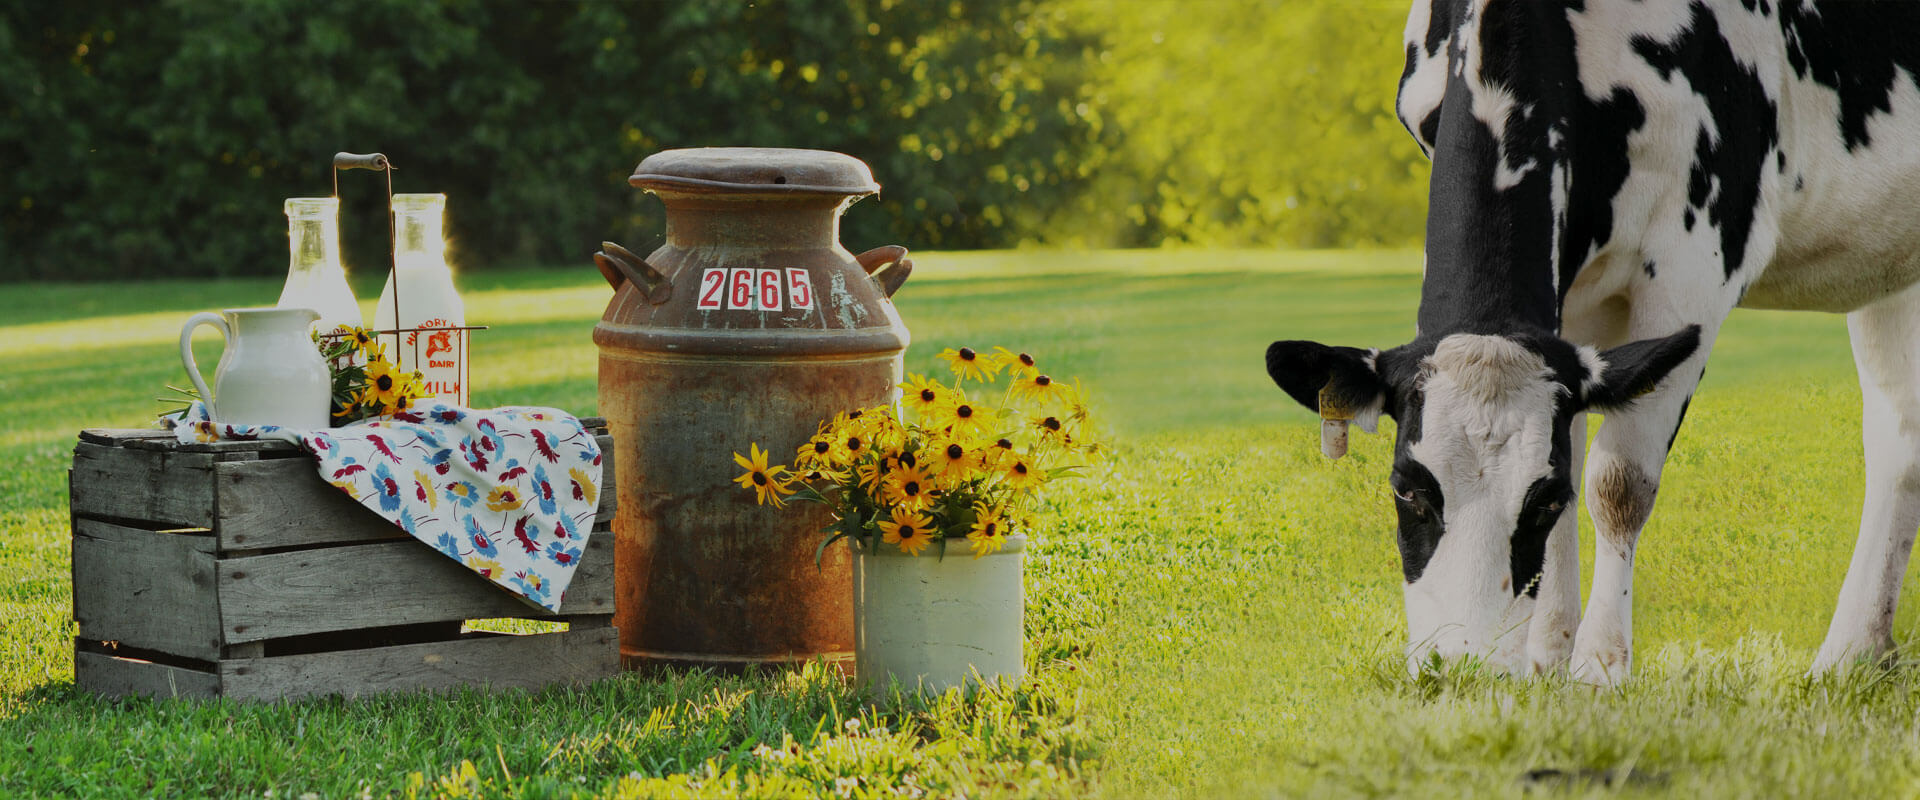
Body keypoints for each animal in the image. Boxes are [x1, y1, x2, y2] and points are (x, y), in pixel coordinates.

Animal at [1267, 1, 1920, 686]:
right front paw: (1548, 659)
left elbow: (1618, 482)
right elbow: (1576, 449)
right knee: (1898, 433)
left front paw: (1599, 667)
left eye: (1545, 500)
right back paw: (1854, 656)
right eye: (1405, 488)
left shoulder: (1698, 260)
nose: (1464, 669)